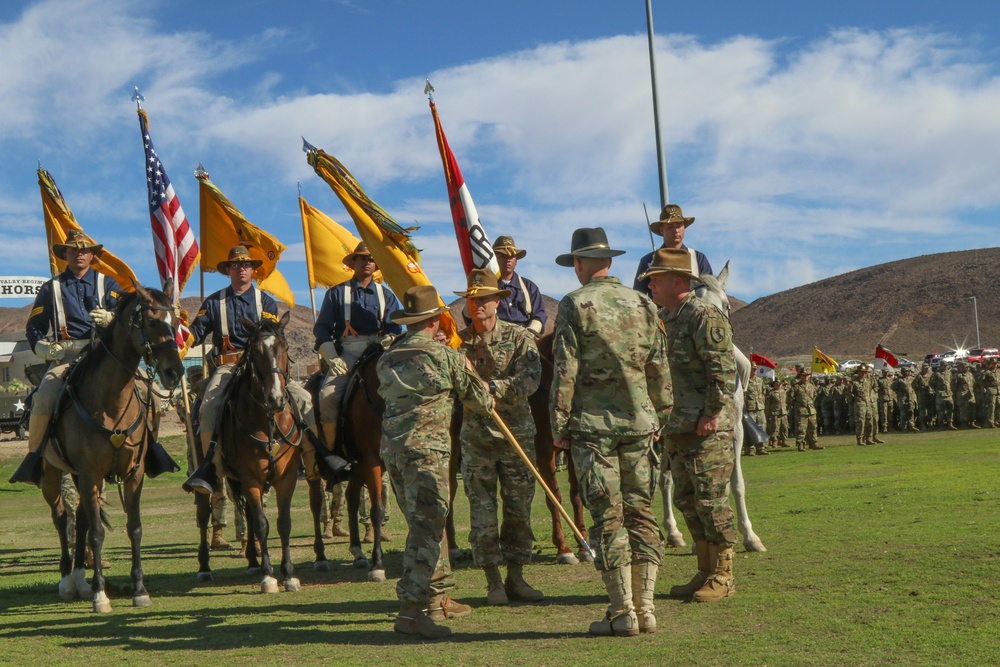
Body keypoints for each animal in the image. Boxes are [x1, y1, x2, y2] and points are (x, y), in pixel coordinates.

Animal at [36, 284, 184, 612]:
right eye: (151, 322)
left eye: (176, 323)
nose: (175, 372)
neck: (111, 403)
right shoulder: (91, 473)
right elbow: (97, 532)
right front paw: (100, 595)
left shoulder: (133, 473)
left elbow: (134, 528)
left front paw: (139, 590)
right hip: (54, 475)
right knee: (61, 517)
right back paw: (67, 580)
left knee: (79, 519)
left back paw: (81, 579)